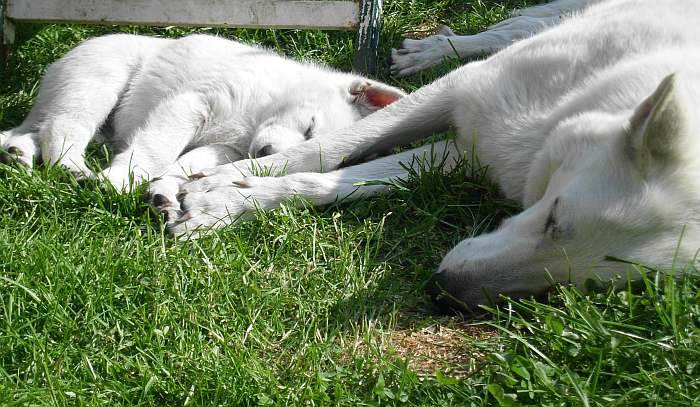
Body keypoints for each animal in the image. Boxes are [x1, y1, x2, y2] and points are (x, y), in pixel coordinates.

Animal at [0, 33, 404, 212]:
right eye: (309, 129)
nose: (265, 152)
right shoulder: (192, 103)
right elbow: (156, 148)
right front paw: (119, 180)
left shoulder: (225, 147)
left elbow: (189, 162)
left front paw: (166, 189)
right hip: (96, 82)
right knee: (62, 127)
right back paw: (72, 167)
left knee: (32, 129)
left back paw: (18, 152)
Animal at [163, 0, 700, 310]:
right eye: (554, 219)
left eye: (584, 285)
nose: (444, 293)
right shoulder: (457, 92)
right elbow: (327, 148)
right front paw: (217, 184)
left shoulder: (466, 152)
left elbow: (330, 180)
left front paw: (230, 199)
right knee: (512, 29)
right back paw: (432, 49)